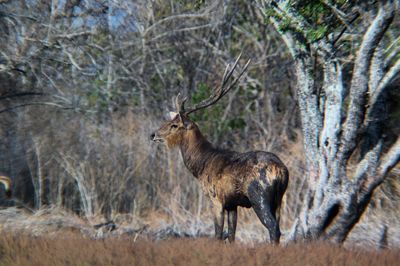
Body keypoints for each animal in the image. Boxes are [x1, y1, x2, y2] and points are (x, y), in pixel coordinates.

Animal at [151, 55, 288, 244]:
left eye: (174, 125)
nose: (153, 134)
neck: (200, 166)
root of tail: (282, 171)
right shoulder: (232, 204)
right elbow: (231, 236)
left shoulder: (216, 199)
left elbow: (217, 234)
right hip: (279, 200)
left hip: (259, 196)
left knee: (273, 229)